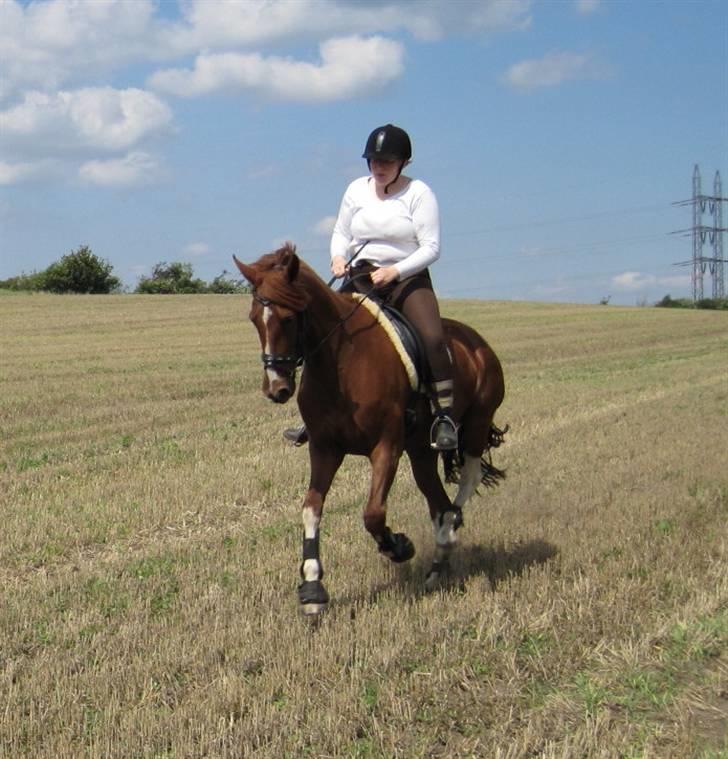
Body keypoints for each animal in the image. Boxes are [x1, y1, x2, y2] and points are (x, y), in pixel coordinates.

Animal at [235, 245, 506, 616]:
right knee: (436, 499)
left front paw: (399, 546)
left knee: (467, 479)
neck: (340, 364)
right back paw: (437, 568)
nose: (277, 389)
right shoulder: (324, 449)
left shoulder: (386, 447)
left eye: (288, 318)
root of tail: (477, 343)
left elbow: (373, 514)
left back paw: (450, 529)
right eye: (253, 319)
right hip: (420, 451)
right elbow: (311, 509)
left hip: (476, 425)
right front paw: (312, 588)